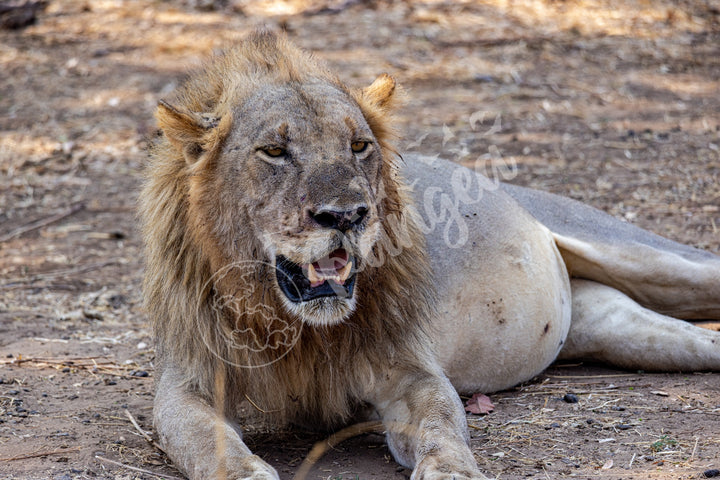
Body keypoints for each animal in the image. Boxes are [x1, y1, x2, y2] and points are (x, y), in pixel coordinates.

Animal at [141, 31, 720, 480]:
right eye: (274, 152)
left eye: (359, 146)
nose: (347, 215)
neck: (299, 329)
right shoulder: (189, 382)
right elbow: (206, 442)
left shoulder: (409, 370)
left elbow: (442, 423)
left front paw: (452, 469)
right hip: (624, 330)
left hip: (648, 257)